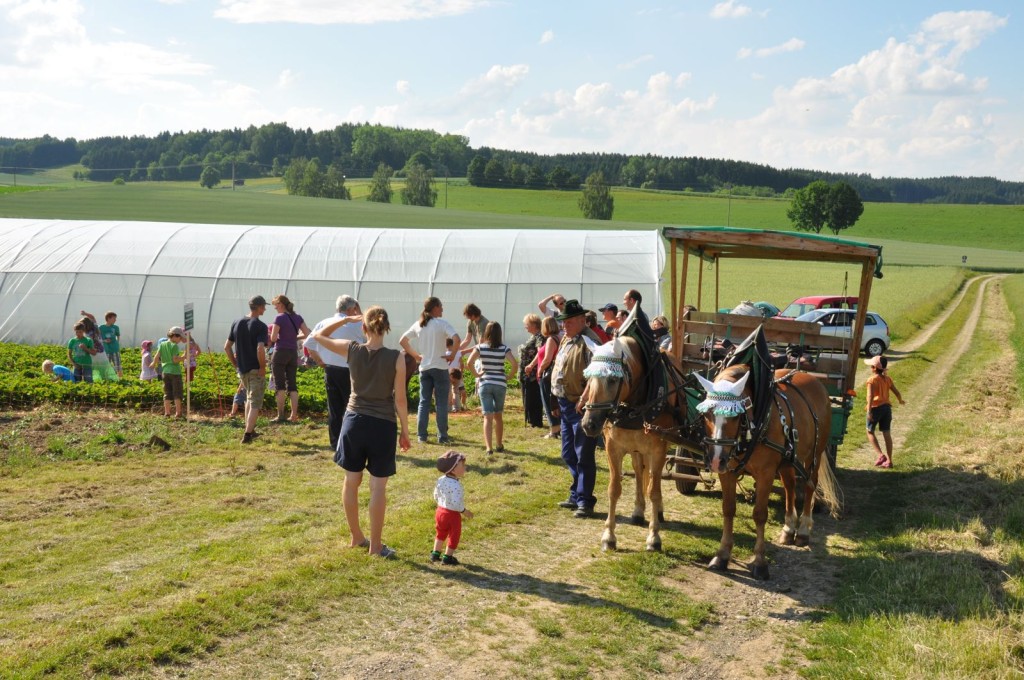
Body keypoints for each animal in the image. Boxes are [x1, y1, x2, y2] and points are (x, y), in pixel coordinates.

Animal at [580, 335, 674, 553]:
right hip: (636, 449)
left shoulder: (658, 450)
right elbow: (614, 489)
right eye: (588, 379)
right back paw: (638, 511)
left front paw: (654, 537)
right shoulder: (613, 448)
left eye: (613, 379)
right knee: (639, 471)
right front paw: (609, 536)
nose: (589, 424)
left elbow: (654, 491)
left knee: (651, 477)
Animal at [694, 363, 840, 580]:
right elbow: (728, 509)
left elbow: (760, 514)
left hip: (814, 454)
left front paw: (760, 562)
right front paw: (722, 556)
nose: (715, 460)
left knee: (809, 486)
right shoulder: (727, 472)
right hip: (788, 460)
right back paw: (788, 529)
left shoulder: (765, 473)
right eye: (706, 415)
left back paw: (803, 531)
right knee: (789, 487)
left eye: (735, 416)